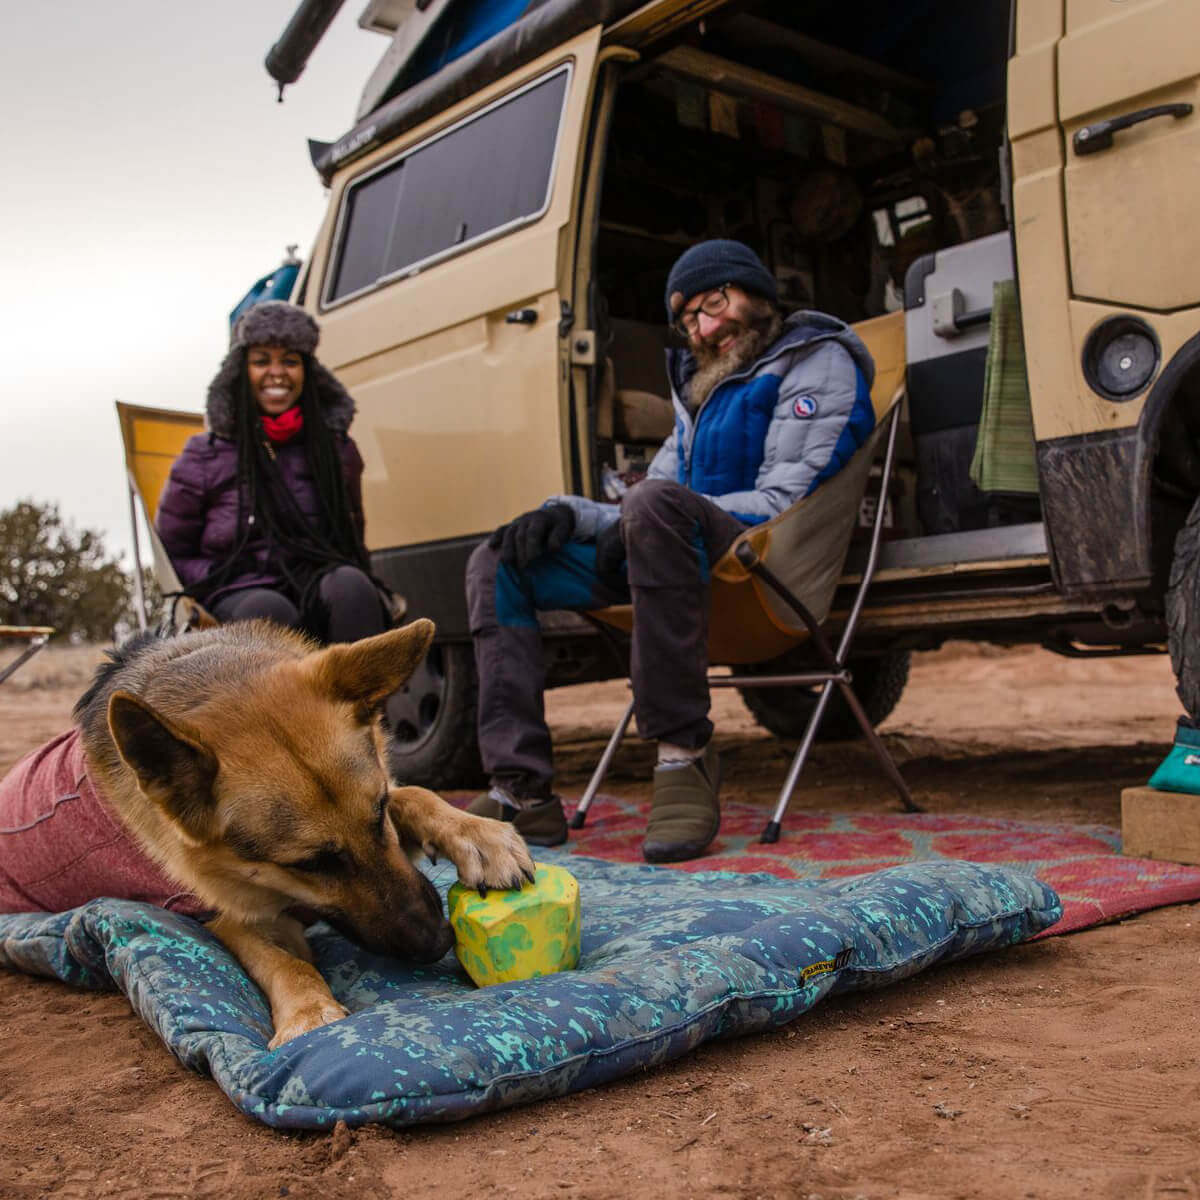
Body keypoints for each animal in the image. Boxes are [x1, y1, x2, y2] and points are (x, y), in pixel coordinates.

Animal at [68, 624, 532, 1046]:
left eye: (379, 811)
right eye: (311, 864)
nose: (438, 941)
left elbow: (416, 793)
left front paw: (481, 836)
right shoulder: (228, 918)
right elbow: (282, 962)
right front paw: (310, 1010)